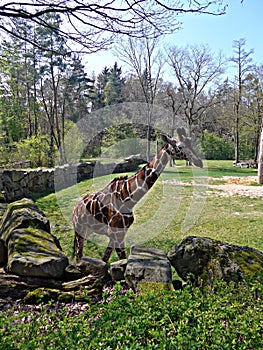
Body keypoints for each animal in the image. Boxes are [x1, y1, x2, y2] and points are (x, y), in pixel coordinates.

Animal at [72, 127, 204, 262]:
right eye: (180, 146)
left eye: (190, 143)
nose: (199, 162)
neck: (128, 198)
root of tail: (76, 208)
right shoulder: (115, 233)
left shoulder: (118, 234)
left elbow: (107, 259)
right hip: (79, 229)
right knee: (78, 254)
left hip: (88, 230)